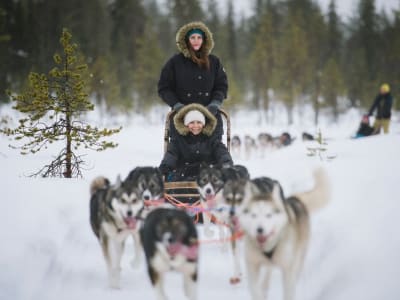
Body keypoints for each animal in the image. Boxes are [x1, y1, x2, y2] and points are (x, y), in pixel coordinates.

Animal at [238, 169, 328, 300]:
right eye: (253, 215)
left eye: (269, 215)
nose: (260, 230)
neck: (268, 246)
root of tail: (295, 199)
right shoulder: (252, 265)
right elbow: (254, 289)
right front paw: (260, 293)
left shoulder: (287, 269)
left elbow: (288, 290)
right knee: (268, 272)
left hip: (299, 255)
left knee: (295, 269)